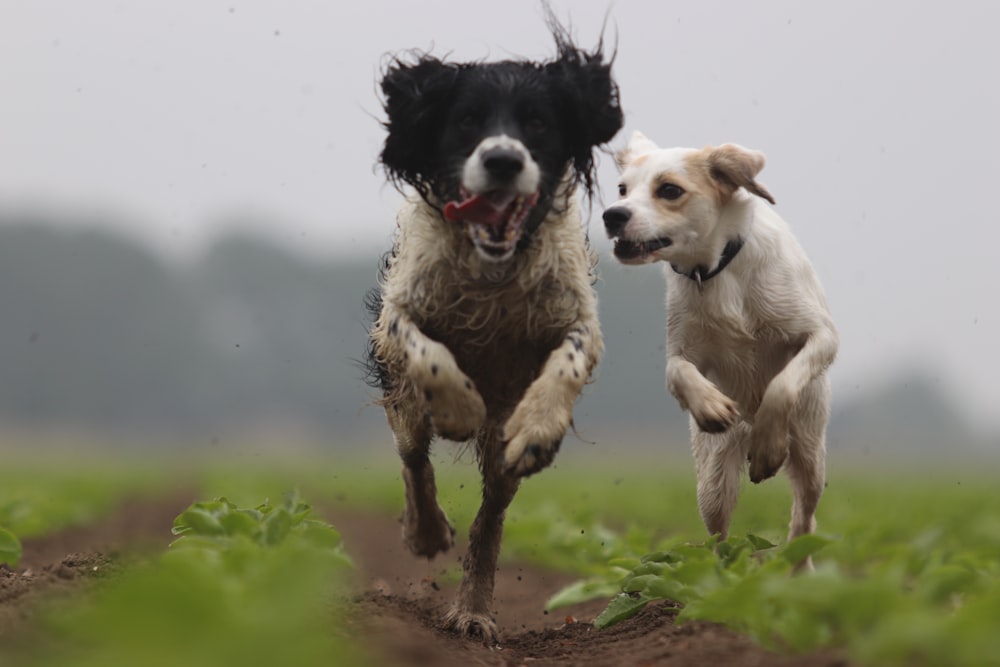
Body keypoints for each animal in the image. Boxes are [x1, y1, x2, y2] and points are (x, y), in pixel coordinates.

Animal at [364, 14, 620, 640]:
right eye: (466, 120)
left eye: (537, 122)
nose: (503, 160)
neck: (494, 273)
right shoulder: (401, 313)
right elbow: (426, 351)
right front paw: (458, 407)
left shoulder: (573, 317)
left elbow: (568, 360)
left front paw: (540, 429)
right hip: (405, 406)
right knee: (414, 459)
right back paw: (427, 531)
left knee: (493, 513)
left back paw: (474, 611)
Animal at [604, 133, 840, 556]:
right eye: (622, 189)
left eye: (669, 190)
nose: (612, 215)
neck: (715, 270)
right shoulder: (682, 347)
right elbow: (677, 372)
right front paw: (711, 406)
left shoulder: (822, 334)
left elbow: (781, 385)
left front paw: (767, 448)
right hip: (713, 480)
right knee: (719, 537)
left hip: (810, 454)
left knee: (803, 520)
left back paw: (795, 563)